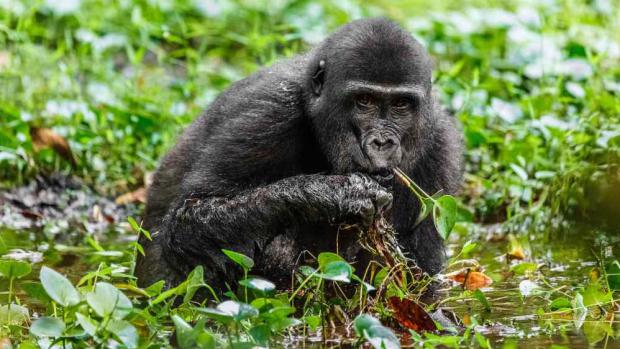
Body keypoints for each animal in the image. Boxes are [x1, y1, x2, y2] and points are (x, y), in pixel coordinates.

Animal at [137, 17, 464, 290]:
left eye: (400, 105)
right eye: (364, 101)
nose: (382, 142)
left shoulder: (441, 147)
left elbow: (420, 279)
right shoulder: (267, 113)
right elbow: (188, 221)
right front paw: (330, 193)